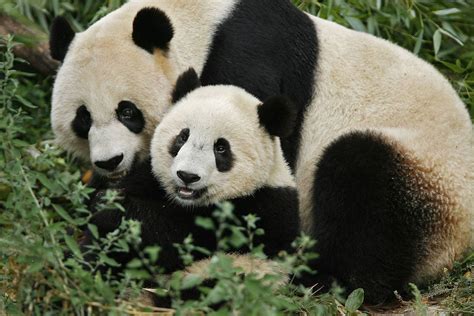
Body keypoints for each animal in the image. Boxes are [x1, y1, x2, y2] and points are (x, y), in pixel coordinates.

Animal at [50, 0, 472, 302]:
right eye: (83, 118)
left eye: (127, 112)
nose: (109, 161)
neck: (203, 23)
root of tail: (456, 248)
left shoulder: (251, 60)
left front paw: (119, 219)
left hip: (425, 173)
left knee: (364, 186)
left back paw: (328, 279)